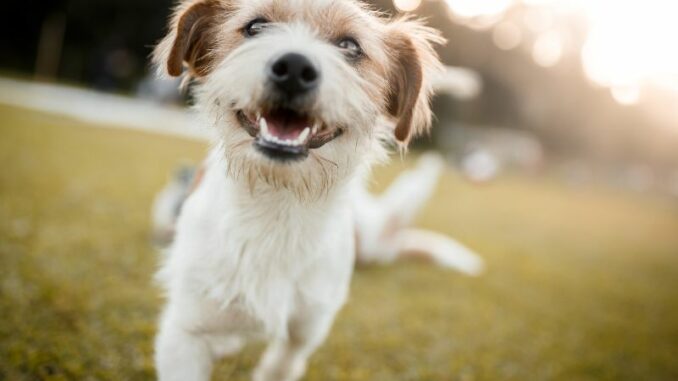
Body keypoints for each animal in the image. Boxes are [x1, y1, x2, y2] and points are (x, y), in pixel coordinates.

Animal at [154, 1, 484, 378]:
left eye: (350, 46)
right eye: (255, 27)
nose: (294, 68)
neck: (278, 203)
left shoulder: (309, 323)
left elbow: (283, 361)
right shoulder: (185, 331)